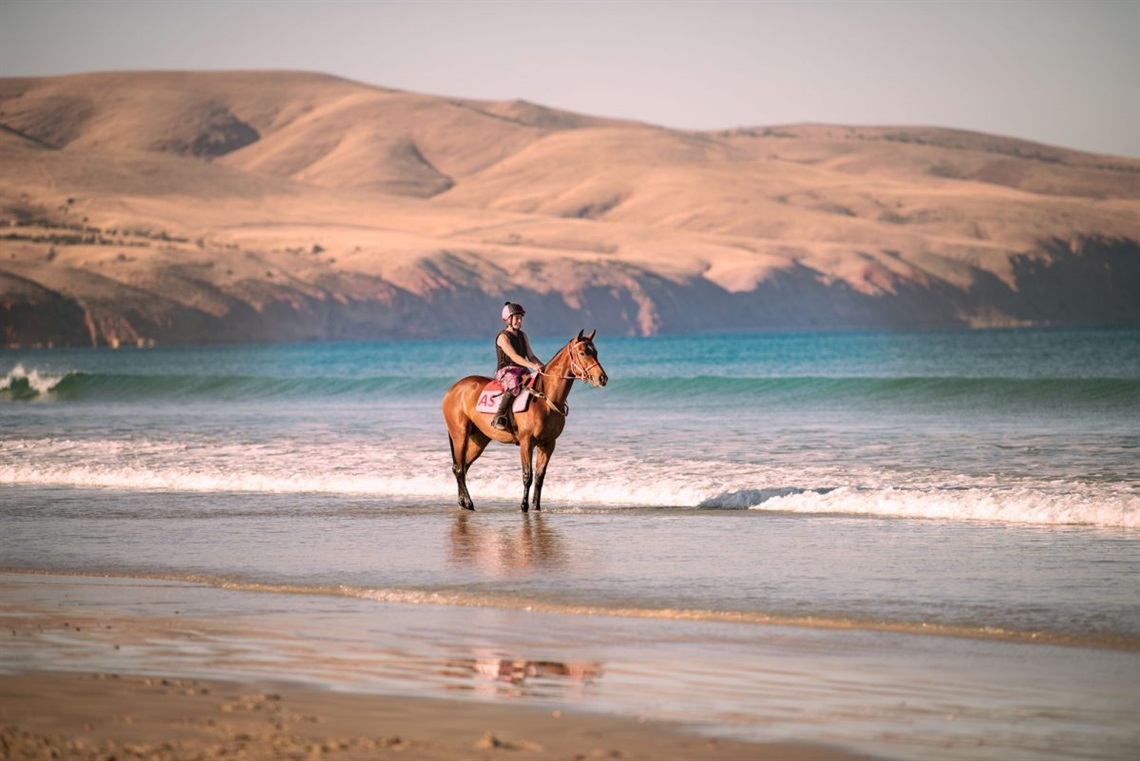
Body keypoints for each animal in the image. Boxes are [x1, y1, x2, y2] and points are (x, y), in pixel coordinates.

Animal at [442, 328, 606, 510]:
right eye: (583, 352)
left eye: (596, 352)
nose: (602, 378)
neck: (546, 399)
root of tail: (453, 389)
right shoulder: (526, 442)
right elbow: (527, 476)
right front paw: (523, 506)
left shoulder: (548, 444)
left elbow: (540, 477)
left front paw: (536, 507)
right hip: (460, 436)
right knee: (459, 468)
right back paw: (468, 503)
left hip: (479, 439)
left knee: (463, 466)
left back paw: (463, 502)